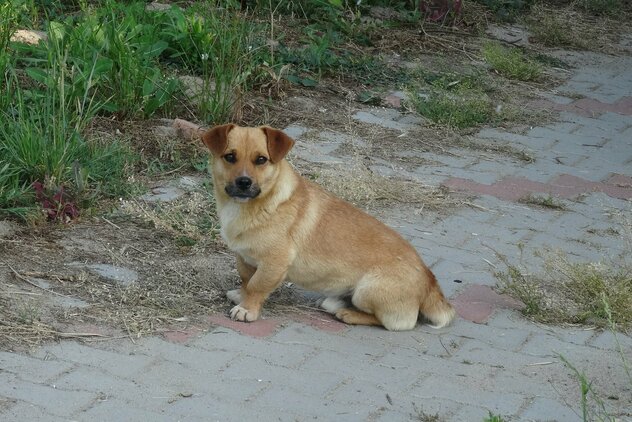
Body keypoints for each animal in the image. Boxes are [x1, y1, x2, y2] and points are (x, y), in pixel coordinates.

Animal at [202, 123, 454, 332]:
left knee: (396, 323)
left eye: (261, 160)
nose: (244, 182)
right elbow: (246, 280)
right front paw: (241, 296)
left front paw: (247, 309)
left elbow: (256, 286)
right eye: (230, 157)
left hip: (367, 290)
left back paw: (348, 314)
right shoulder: (244, 257)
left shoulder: (274, 263)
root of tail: (430, 282)